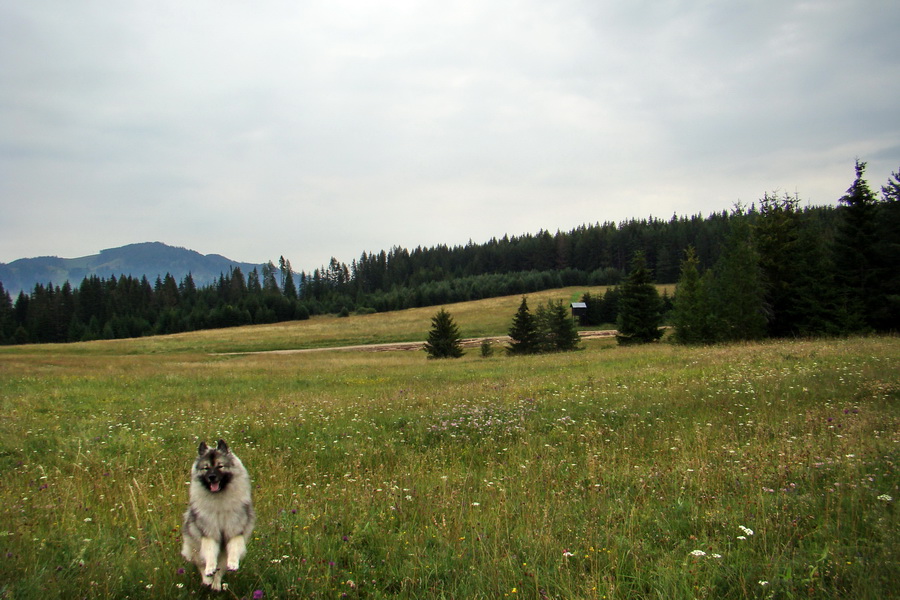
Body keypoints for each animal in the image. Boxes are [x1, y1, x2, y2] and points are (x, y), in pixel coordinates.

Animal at [181, 438, 255, 588]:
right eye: (206, 468)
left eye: (220, 466)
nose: (212, 477)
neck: (219, 502)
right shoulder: (209, 532)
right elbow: (210, 553)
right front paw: (210, 569)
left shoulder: (235, 530)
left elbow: (234, 548)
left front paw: (233, 563)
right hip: (194, 548)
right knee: (201, 565)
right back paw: (207, 580)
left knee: (220, 569)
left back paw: (216, 584)